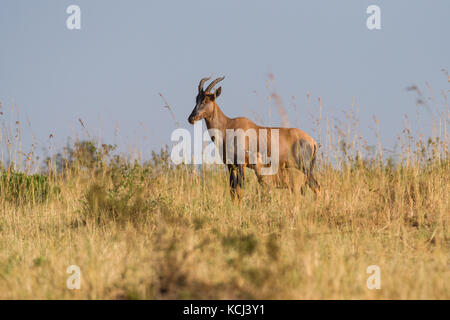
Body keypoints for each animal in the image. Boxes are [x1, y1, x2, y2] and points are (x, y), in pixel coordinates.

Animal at [188, 76, 322, 199]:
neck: (228, 125)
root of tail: (312, 141)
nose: (191, 118)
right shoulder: (231, 166)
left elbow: (240, 188)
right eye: (196, 99)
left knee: (316, 186)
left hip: (304, 167)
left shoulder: (242, 165)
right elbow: (233, 191)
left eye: (207, 100)